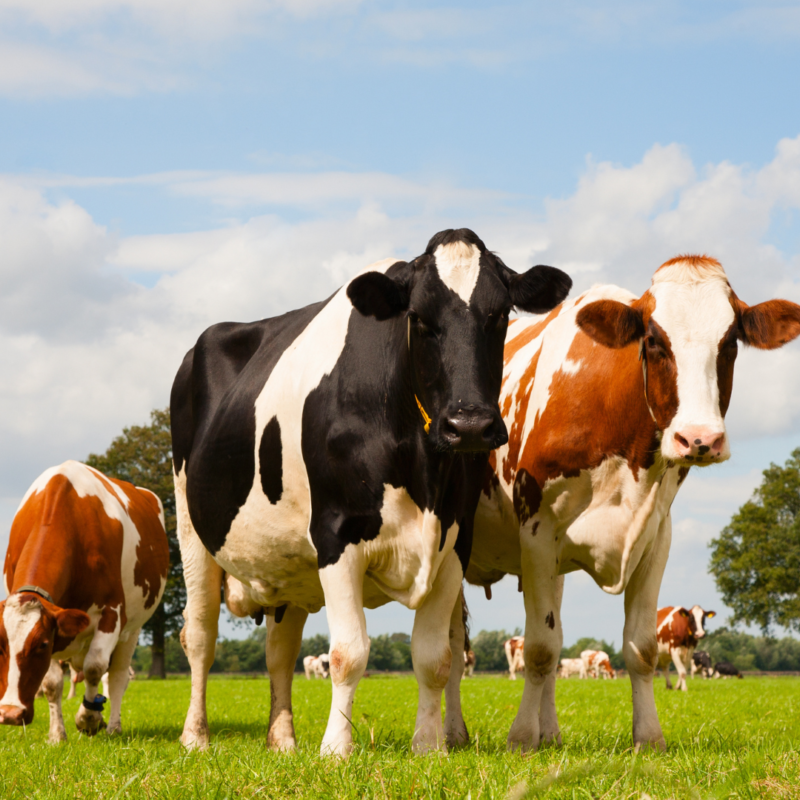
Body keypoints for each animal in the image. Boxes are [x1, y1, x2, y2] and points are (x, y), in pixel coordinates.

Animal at [0, 461, 169, 743]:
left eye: (41, 645)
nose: (10, 713)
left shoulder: (112, 612)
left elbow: (95, 668)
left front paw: (88, 719)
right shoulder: (55, 622)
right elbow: (52, 683)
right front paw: (57, 735)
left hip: (133, 629)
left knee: (117, 676)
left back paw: (113, 726)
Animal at [170, 228, 572, 756]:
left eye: (501, 314)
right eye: (418, 317)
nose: (469, 425)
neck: (423, 467)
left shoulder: (454, 542)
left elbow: (434, 656)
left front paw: (429, 745)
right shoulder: (336, 534)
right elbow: (349, 653)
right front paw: (336, 749)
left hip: (286, 567)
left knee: (279, 652)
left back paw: (282, 740)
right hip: (191, 529)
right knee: (199, 636)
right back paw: (195, 736)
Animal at [455, 254, 800, 753]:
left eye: (731, 340)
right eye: (654, 340)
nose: (699, 439)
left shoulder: (656, 536)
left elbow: (639, 647)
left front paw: (649, 738)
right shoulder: (536, 531)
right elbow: (539, 648)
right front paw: (520, 739)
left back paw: (550, 732)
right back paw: (453, 732)